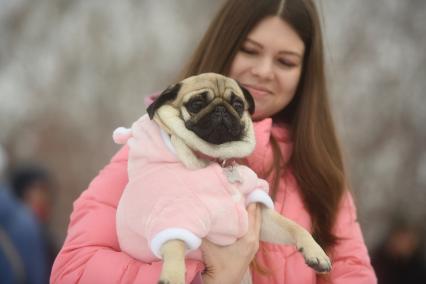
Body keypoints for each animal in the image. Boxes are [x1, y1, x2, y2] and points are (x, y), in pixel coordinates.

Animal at [112, 72, 330, 282]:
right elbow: (174, 245)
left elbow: (295, 227)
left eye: (238, 105)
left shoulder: (262, 220)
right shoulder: (173, 215)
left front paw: (316, 252)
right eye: (196, 104)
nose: (221, 109)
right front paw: (173, 276)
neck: (213, 157)